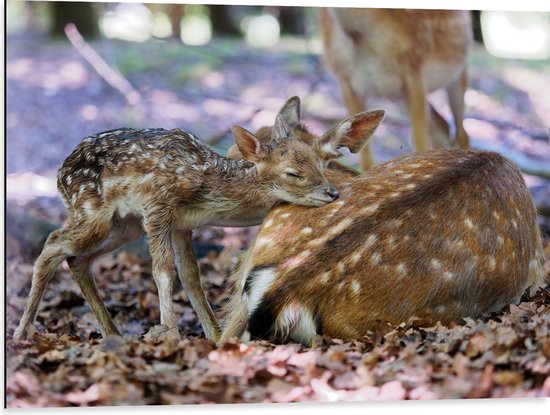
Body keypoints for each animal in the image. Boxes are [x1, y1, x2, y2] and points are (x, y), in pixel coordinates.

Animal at [12, 96, 384, 342]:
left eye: (323, 163)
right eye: (292, 172)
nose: (332, 193)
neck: (207, 188)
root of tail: (58, 174)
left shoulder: (181, 223)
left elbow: (192, 277)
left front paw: (212, 336)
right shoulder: (157, 203)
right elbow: (163, 271)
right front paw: (170, 336)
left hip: (123, 226)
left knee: (77, 259)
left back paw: (112, 333)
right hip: (92, 213)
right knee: (52, 244)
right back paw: (21, 332)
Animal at [322, 7, 472, 169]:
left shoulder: (415, 70)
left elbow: (420, 144)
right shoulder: (346, 81)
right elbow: (366, 161)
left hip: (459, 74)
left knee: (462, 132)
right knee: (443, 128)